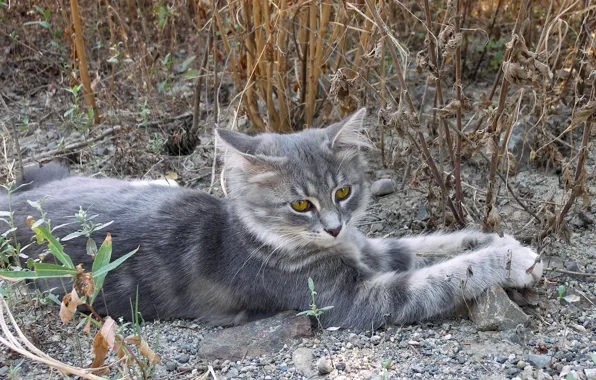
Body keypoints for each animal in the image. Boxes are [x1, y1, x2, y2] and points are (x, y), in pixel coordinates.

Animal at [0, 108, 544, 328]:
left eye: (343, 192)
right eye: (300, 205)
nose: (333, 226)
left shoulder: (365, 245)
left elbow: (421, 244)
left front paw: (491, 239)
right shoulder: (355, 302)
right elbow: (442, 276)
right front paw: (503, 258)